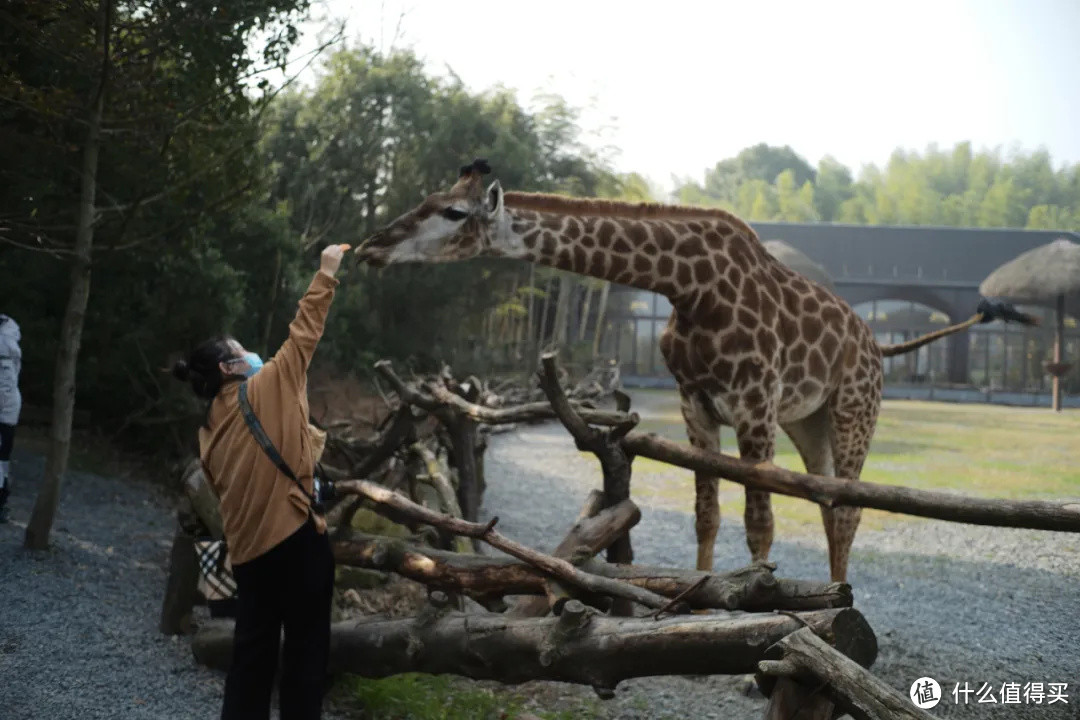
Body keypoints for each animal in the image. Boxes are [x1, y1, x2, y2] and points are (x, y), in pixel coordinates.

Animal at [356, 160, 1036, 582]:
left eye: (450, 212)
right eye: (425, 201)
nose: (370, 247)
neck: (688, 287)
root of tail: (878, 345)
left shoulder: (755, 404)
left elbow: (759, 522)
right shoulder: (696, 404)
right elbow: (706, 515)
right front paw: (708, 601)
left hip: (853, 412)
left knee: (848, 508)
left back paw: (839, 613)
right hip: (808, 421)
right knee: (829, 502)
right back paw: (833, 599)